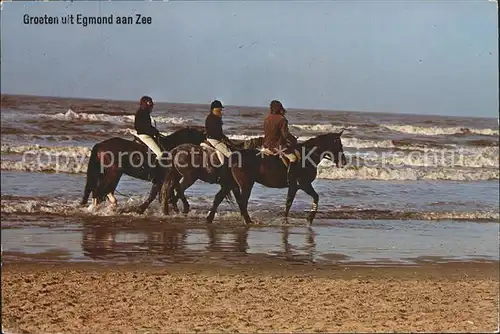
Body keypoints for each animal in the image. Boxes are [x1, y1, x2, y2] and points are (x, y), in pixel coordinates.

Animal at [162, 130, 346, 224]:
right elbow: (312, 198)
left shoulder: (295, 186)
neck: (307, 155)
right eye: (338, 143)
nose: (343, 161)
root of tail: (176, 150)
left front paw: (287, 220)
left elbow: (290, 202)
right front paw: (309, 218)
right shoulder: (303, 184)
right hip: (235, 183)